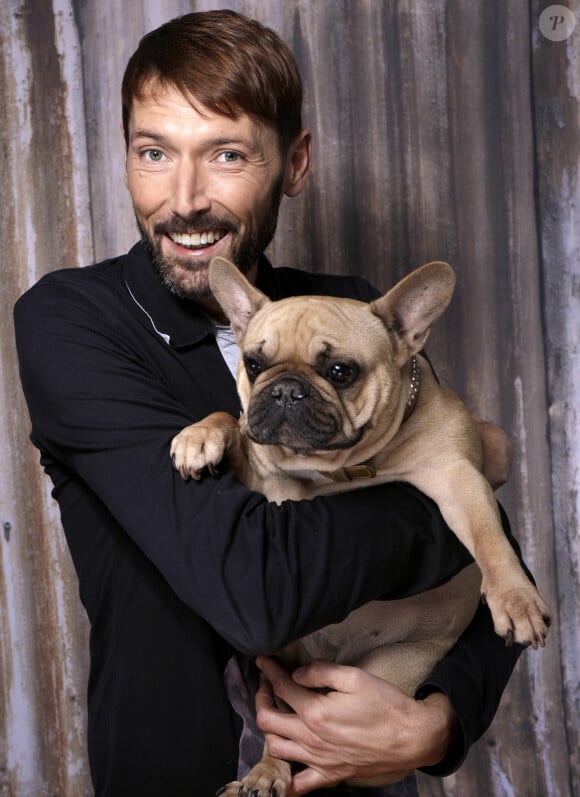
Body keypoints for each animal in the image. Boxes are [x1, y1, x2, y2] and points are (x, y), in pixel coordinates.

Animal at [170, 258, 552, 792]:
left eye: (340, 371)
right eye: (254, 364)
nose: (284, 389)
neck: (340, 469)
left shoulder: (457, 475)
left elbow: (488, 535)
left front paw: (516, 600)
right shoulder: (263, 476)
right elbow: (233, 418)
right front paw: (199, 436)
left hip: (389, 673)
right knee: (279, 733)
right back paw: (266, 773)